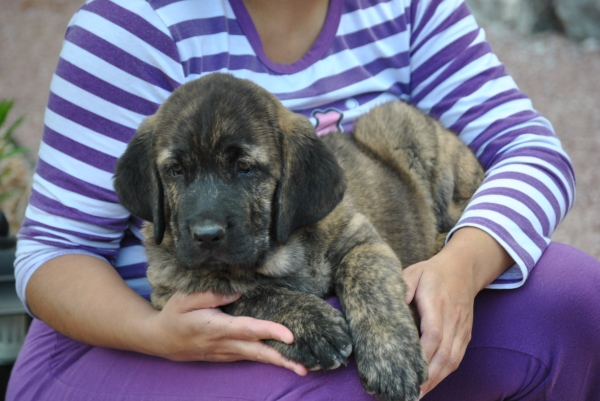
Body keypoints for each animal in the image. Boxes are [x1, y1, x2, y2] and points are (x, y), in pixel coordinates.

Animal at [115, 72, 486, 400]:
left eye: (245, 167)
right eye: (175, 171)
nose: (206, 236)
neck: (281, 251)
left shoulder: (361, 239)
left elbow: (368, 282)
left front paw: (392, 360)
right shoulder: (172, 286)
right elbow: (245, 294)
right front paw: (313, 324)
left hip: (394, 122)